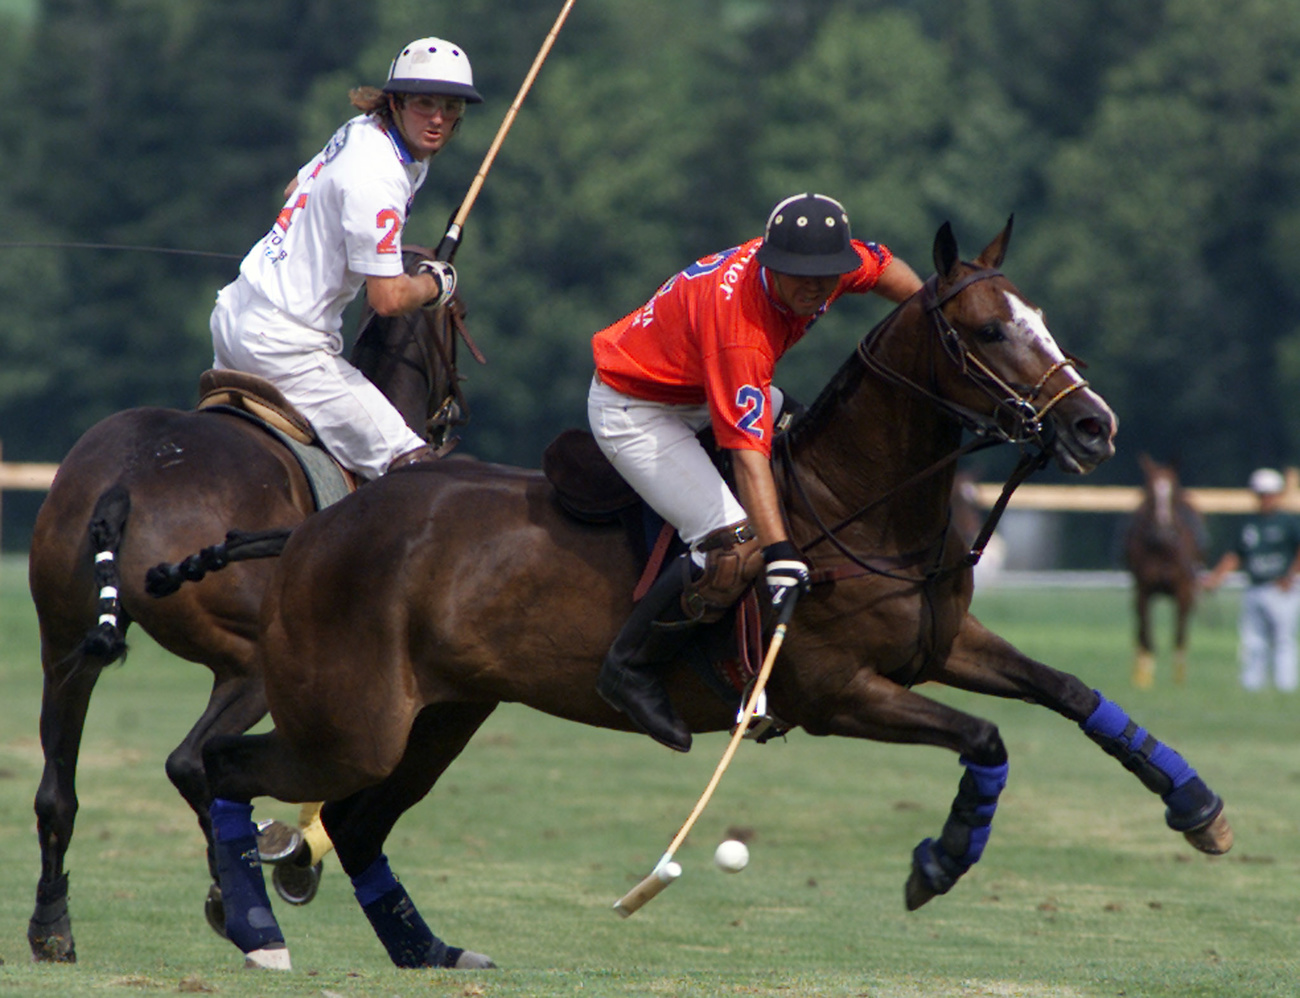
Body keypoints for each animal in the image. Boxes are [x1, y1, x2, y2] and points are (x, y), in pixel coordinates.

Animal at [26, 253, 478, 961]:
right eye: (455, 318)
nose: (451, 418)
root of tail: (124, 479)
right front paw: (297, 859)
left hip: (63, 642)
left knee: (56, 792)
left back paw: (54, 925)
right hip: (251, 662)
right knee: (190, 760)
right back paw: (236, 889)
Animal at [1118, 457, 1206, 691]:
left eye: (1173, 492)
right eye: (1149, 491)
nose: (1162, 530)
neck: (1163, 547)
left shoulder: (1184, 591)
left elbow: (1179, 632)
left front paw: (1179, 678)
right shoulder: (1144, 591)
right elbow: (1146, 632)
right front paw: (1144, 677)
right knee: (1140, 631)